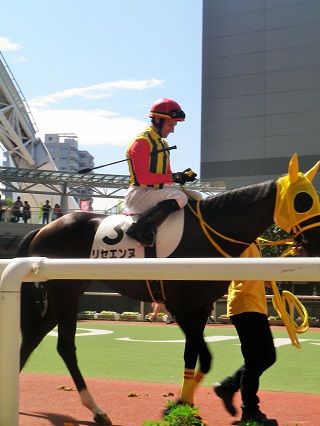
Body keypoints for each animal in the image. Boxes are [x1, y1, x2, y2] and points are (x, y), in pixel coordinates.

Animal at [16, 154, 320, 426]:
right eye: (304, 200)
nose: (314, 242)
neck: (208, 232)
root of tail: (42, 229)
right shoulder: (181, 305)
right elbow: (205, 358)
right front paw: (178, 405)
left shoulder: (201, 307)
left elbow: (193, 356)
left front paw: (186, 405)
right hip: (65, 292)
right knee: (64, 345)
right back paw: (96, 409)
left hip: (66, 293)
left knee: (35, 335)